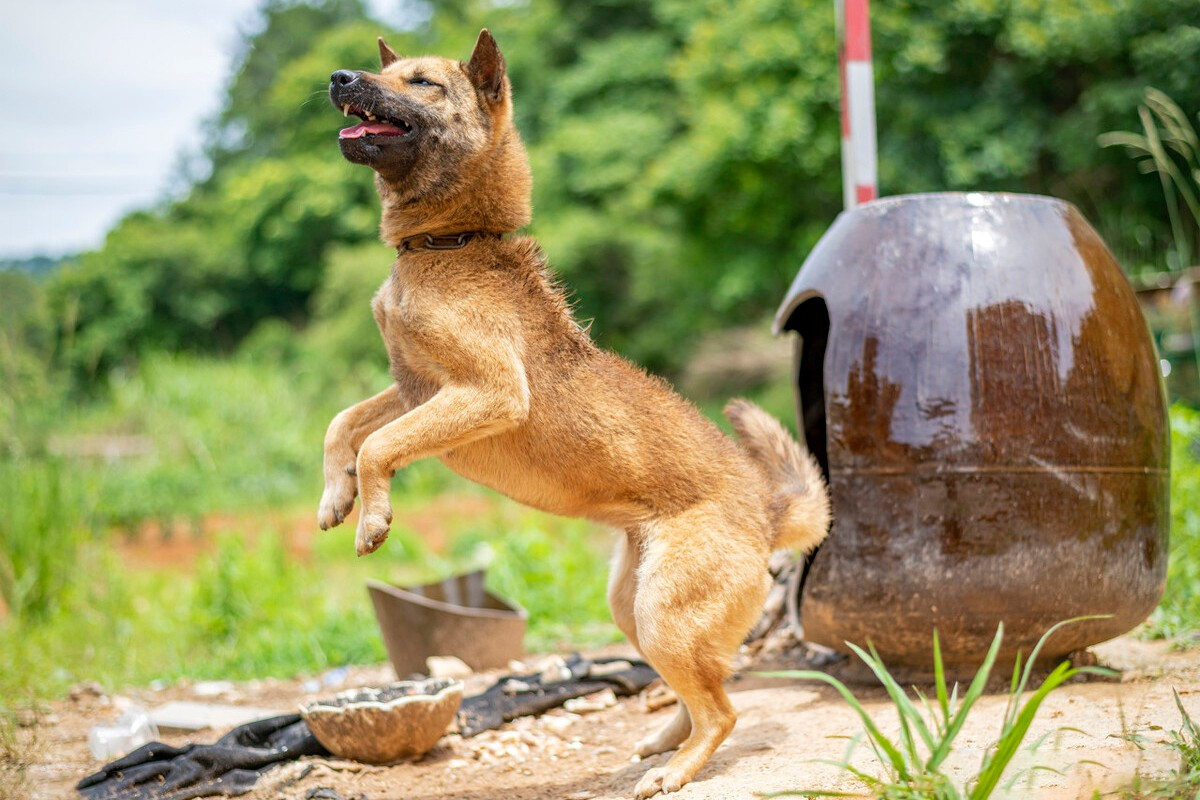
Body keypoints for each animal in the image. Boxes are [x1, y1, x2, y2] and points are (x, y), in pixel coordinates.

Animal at [316, 31, 825, 800]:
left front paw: (373, 516)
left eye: (423, 82)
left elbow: (378, 445)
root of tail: (767, 511)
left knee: (724, 709)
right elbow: (344, 424)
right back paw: (664, 743)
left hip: (661, 614)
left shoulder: (484, 394)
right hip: (633, 610)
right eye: (387, 69)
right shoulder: (413, 390)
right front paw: (335, 497)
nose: (341, 77)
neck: (454, 242)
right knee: (703, 690)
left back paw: (676, 770)